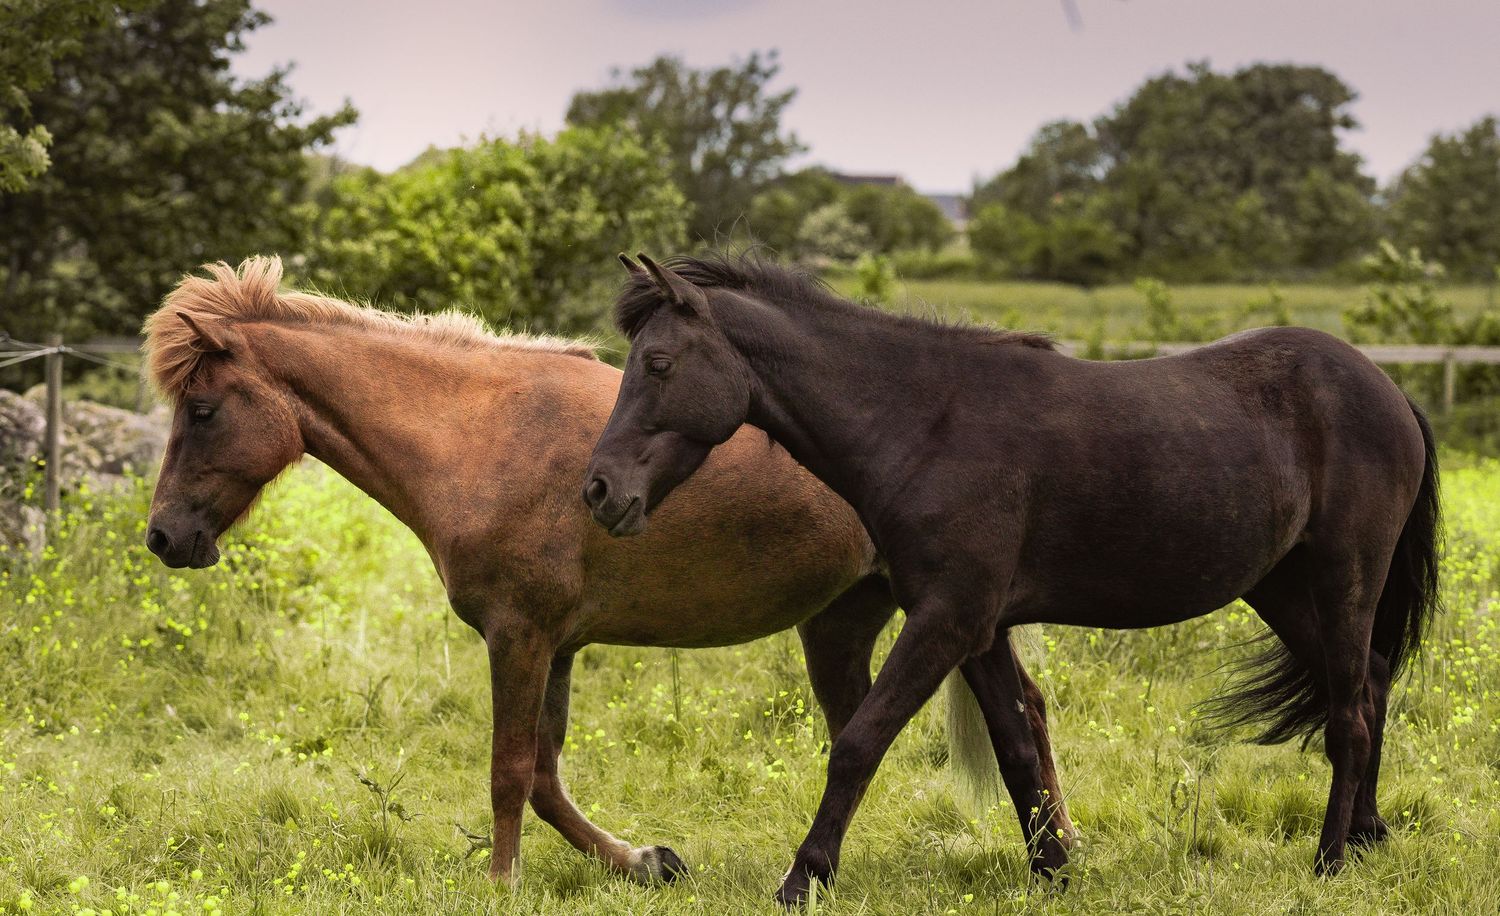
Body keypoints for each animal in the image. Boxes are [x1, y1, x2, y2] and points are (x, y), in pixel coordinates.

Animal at [140, 256, 1073, 888]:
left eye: (203, 410)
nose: (164, 536)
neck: (478, 436)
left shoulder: (519, 636)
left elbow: (510, 770)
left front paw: (504, 885)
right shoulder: (556, 644)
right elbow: (546, 779)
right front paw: (648, 860)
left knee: (1000, 719)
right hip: (857, 625)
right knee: (998, 717)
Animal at [583, 253, 1442, 905]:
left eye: (658, 364)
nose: (599, 489)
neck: (924, 425)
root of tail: (1388, 389)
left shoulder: (946, 619)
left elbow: (860, 742)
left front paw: (804, 879)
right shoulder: (982, 629)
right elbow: (1017, 749)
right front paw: (1053, 872)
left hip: (1342, 580)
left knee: (1350, 714)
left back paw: (1330, 860)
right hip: (1285, 590)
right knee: (1369, 683)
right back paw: (1368, 836)